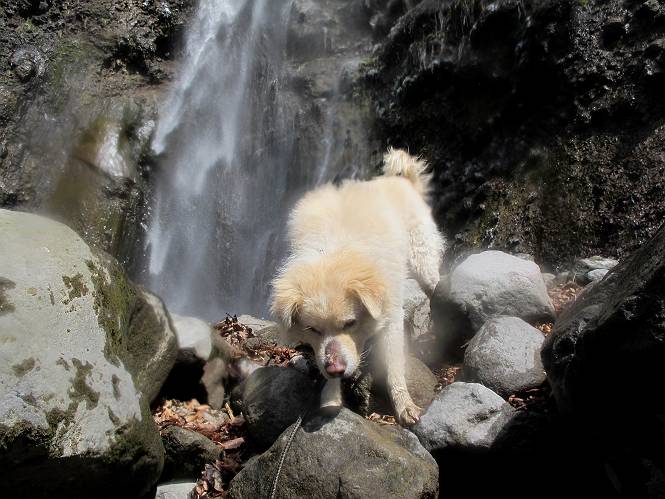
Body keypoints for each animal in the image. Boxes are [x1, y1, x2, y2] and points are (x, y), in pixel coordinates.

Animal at [270, 148, 445, 425]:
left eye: (350, 323)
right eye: (312, 329)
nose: (336, 369)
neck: (335, 252)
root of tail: (402, 181)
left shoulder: (391, 316)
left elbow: (394, 367)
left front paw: (404, 405)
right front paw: (331, 397)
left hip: (423, 262)